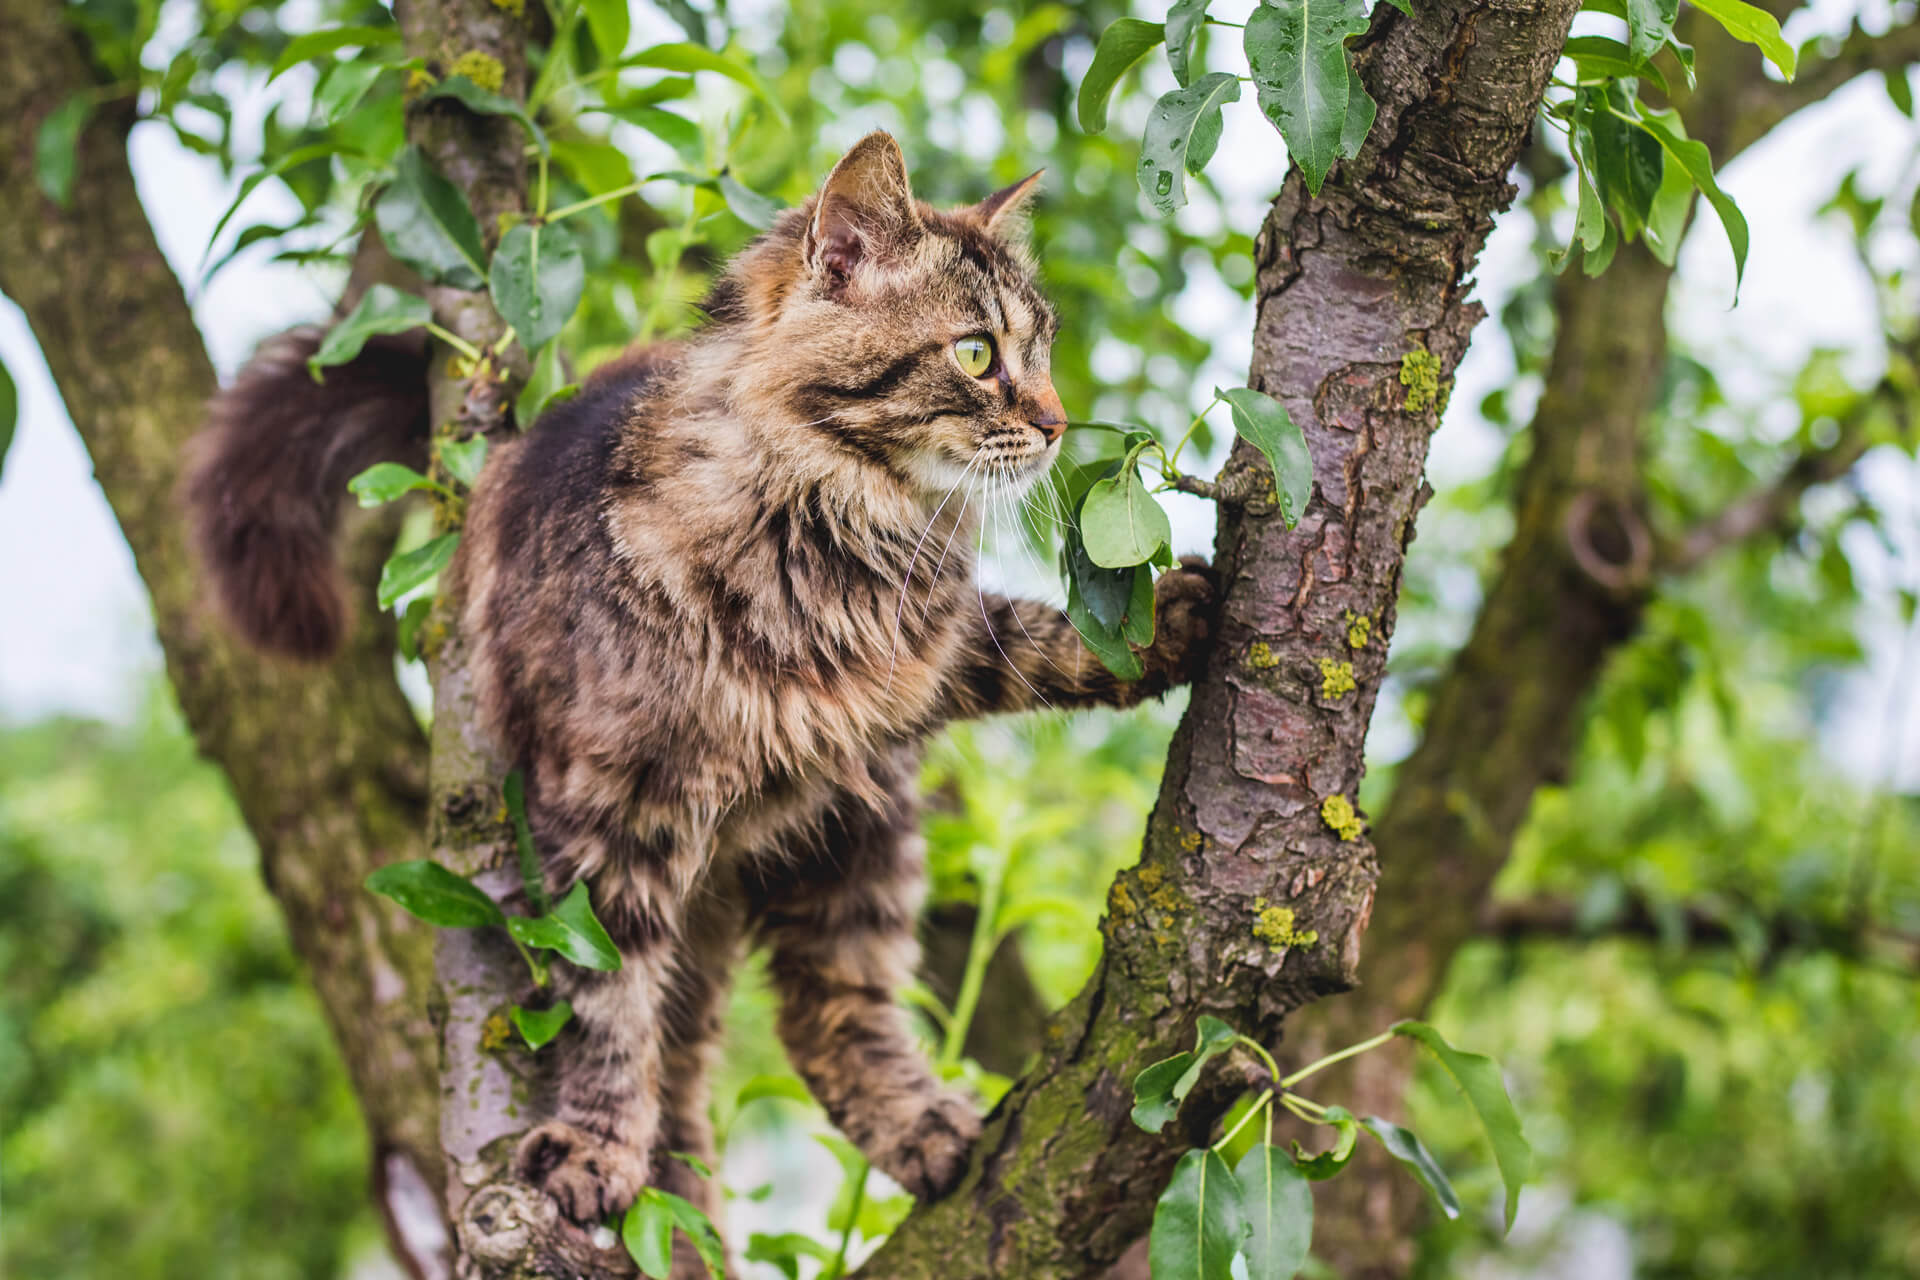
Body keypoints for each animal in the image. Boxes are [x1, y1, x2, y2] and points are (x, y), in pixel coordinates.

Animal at [191, 130, 1213, 1228]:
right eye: (978, 352)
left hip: (860, 838)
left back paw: (921, 1130)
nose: (1061, 423)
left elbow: (1034, 639)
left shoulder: (921, 663)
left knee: (828, 1016)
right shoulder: (610, 819)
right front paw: (597, 1144)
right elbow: (605, 1008)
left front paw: (1165, 624)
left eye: (1046, 348)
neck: (831, 536)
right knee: (707, 1048)